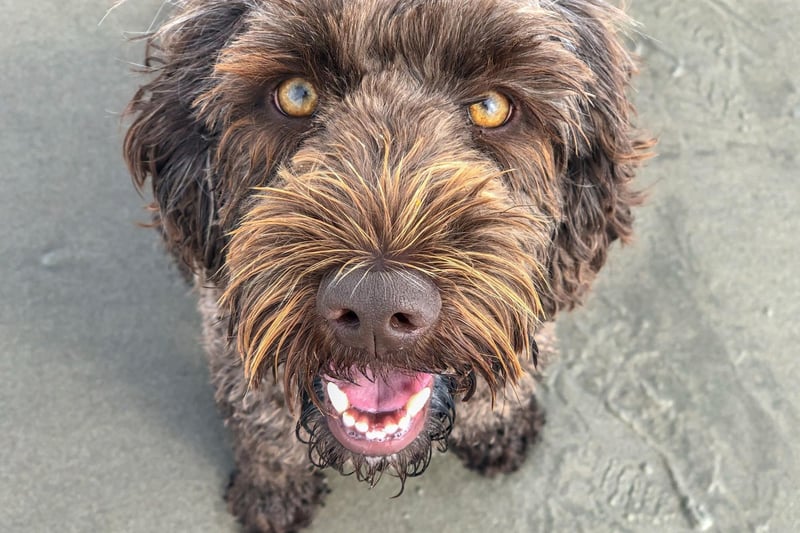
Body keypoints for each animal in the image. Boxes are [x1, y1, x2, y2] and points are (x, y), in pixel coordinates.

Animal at [123, 1, 648, 528]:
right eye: (296, 94)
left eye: (492, 106)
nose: (375, 306)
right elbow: (260, 418)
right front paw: (273, 492)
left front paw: (497, 426)